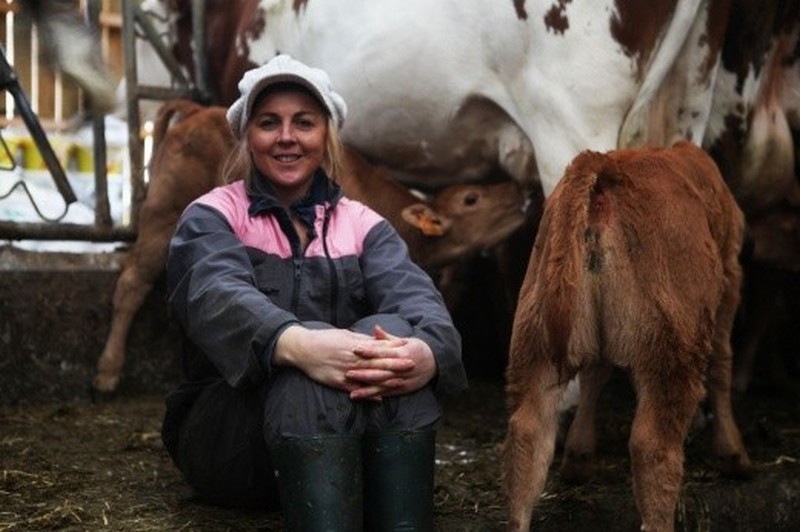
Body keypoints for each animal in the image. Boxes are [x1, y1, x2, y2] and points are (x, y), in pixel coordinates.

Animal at [504, 141, 752, 532]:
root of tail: (602, 167)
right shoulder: (730, 276)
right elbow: (722, 365)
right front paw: (733, 454)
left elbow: (595, 375)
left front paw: (578, 456)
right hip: (673, 347)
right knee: (653, 449)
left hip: (534, 340)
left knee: (528, 437)